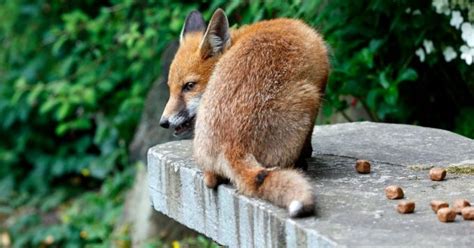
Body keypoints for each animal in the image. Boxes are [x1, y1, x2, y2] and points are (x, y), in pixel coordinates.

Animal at [160, 8, 330, 216]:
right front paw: (307, 154)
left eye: (189, 86)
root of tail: (231, 145)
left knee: (211, 180)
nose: (163, 122)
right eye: (171, 89)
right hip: (310, 97)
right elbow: (309, 139)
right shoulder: (321, 82)